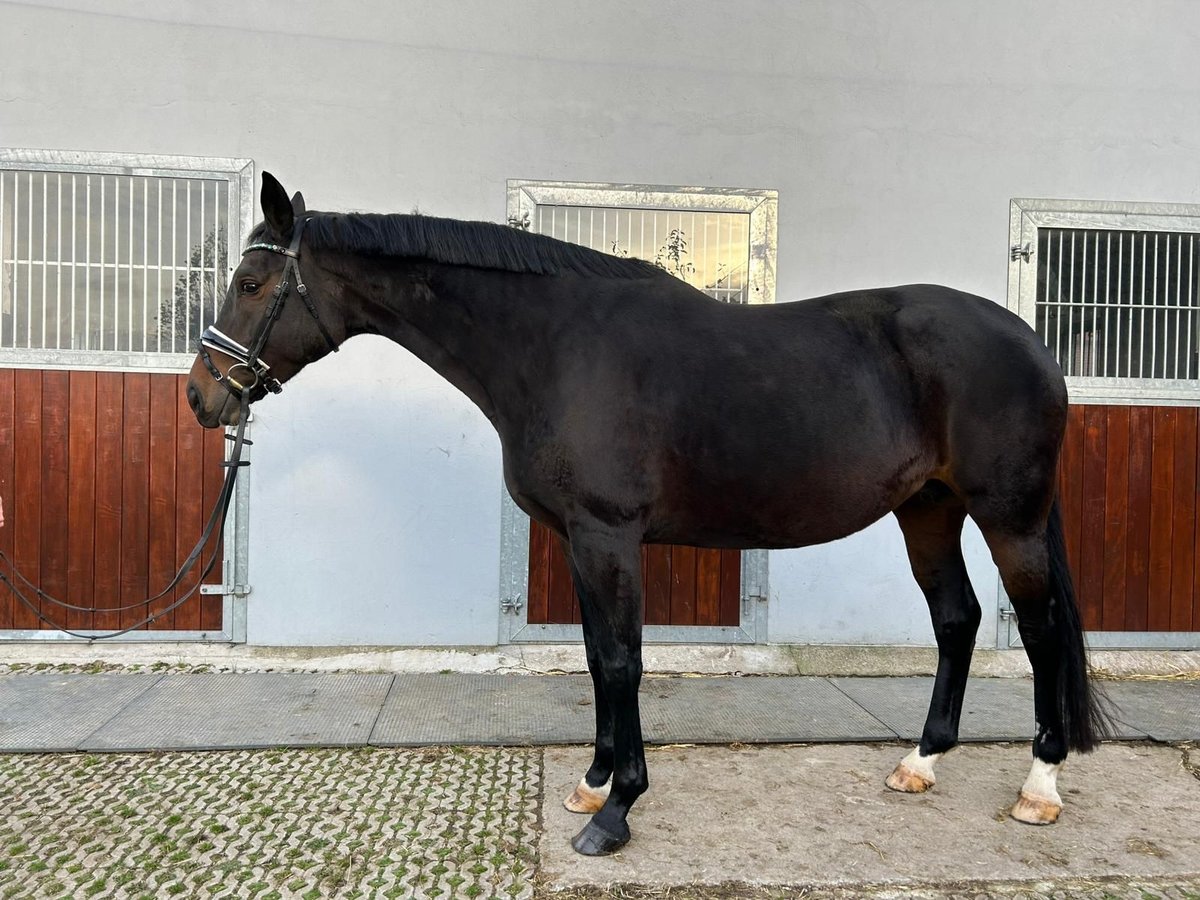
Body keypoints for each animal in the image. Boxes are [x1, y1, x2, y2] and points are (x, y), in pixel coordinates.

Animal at [184, 176, 1104, 859]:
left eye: (253, 283)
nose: (201, 395)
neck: (556, 346)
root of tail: (1029, 342)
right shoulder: (579, 540)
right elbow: (597, 658)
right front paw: (590, 783)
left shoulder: (609, 535)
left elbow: (624, 662)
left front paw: (616, 812)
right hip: (927, 510)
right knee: (958, 619)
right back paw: (920, 763)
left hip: (1010, 517)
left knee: (1040, 627)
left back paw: (1040, 786)